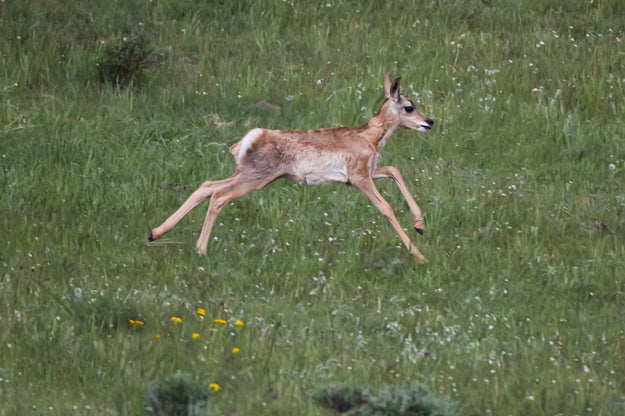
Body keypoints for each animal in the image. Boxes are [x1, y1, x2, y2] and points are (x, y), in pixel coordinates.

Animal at [150, 73, 434, 264]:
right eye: (409, 106)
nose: (430, 121)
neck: (370, 136)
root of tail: (252, 137)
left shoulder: (368, 172)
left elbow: (395, 170)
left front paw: (420, 225)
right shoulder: (360, 178)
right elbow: (386, 207)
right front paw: (420, 255)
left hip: (246, 174)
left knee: (206, 186)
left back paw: (155, 233)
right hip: (254, 179)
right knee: (219, 196)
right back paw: (200, 250)